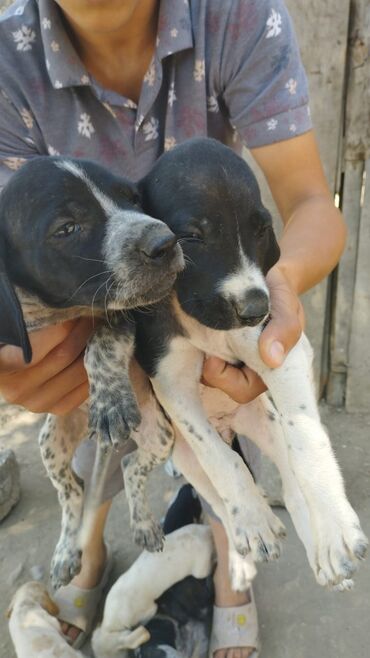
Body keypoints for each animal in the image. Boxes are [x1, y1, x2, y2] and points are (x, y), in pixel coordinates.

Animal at [0, 156, 184, 588]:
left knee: (131, 468)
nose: (166, 241)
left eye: (133, 198)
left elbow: (100, 342)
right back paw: (67, 551)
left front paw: (111, 402)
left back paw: (143, 524)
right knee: (72, 493)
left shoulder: (126, 312)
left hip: (159, 434)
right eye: (66, 228)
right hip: (50, 443)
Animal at [121, 136, 368, 592]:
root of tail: (230, 424)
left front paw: (335, 531)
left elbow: (308, 441)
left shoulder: (282, 352)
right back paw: (246, 537)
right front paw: (253, 522)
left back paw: (323, 555)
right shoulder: (171, 382)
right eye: (192, 236)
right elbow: (223, 461)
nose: (256, 309)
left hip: (267, 423)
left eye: (261, 229)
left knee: (291, 482)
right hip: (184, 455)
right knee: (216, 497)